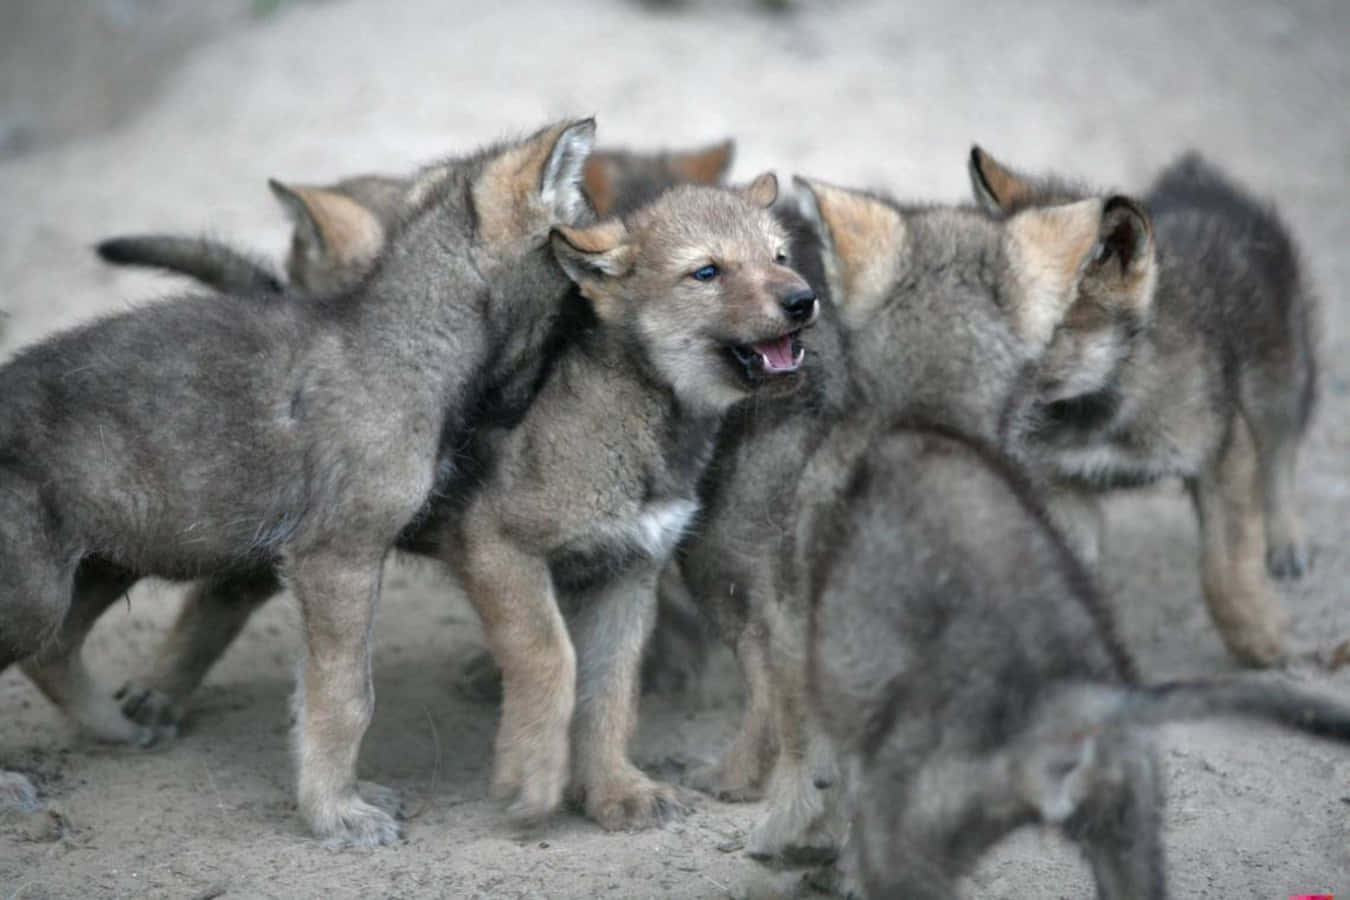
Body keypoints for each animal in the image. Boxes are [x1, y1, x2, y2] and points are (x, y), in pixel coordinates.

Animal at [0, 118, 598, 846]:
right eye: (585, 244)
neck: (406, 346)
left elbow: (316, 694)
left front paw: (336, 797)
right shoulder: (337, 557)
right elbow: (346, 697)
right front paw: (337, 814)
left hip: (105, 559)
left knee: (54, 651)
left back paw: (118, 728)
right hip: (37, 589)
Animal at [969, 147, 1319, 666]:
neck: (1096, 402)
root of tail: (1201, 180)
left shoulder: (1224, 450)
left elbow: (1224, 569)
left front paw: (1262, 640)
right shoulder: (1061, 486)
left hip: (1282, 379)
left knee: (1280, 460)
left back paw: (1287, 541)